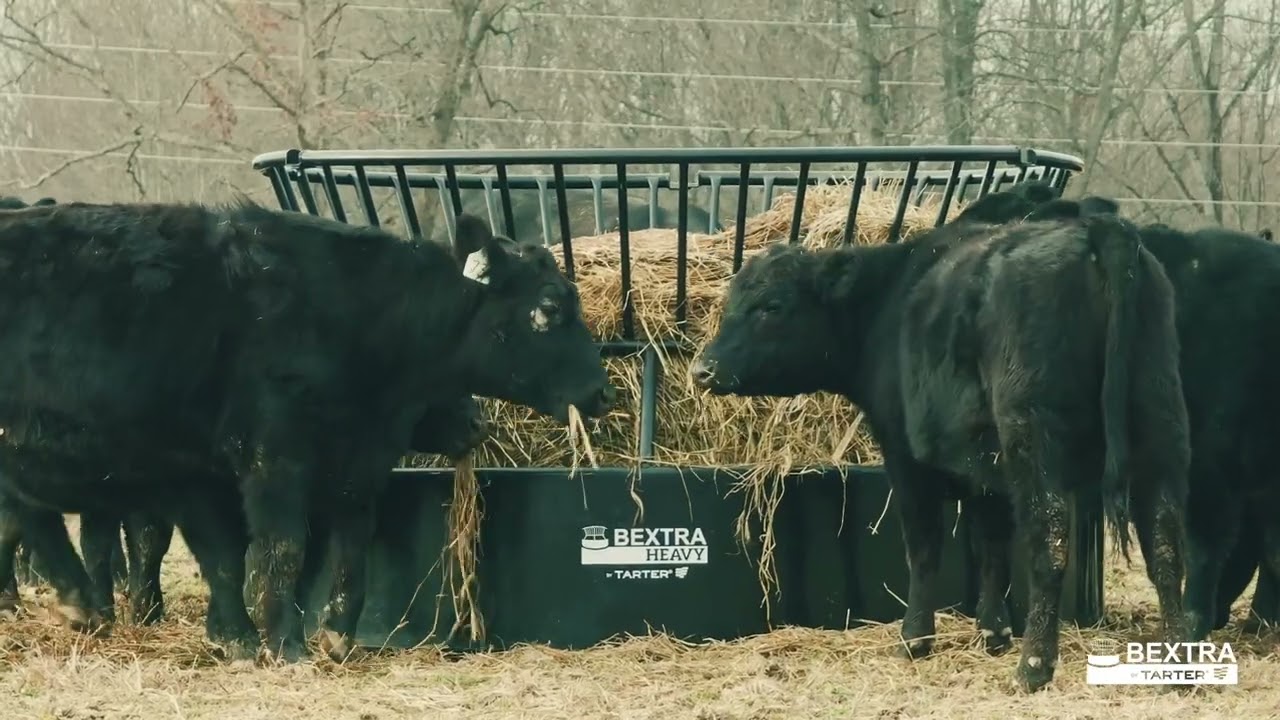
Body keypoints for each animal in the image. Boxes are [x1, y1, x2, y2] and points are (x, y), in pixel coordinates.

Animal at [0, 201, 613, 663]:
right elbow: (277, 550)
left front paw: (319, 636)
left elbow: (330, 549)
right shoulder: (269, 457)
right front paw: (281, 645)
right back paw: (79, 603)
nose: (602, 391)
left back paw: (81, 604)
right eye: (550, 306)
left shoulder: (344, 466)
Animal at [689, 203, 1192, 693]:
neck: (887, 302)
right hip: (1159, 426)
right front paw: (993, 632)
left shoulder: (906, 459)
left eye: (771, 306)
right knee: (1165, 544)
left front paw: (915, 638)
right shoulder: (987, 469)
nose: (703, 370)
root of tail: (1095, 229)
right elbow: (991, 543)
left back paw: (1033, 666)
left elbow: (925, 546)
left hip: (1034, 438)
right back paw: (1175, 667)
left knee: (1050, 543)